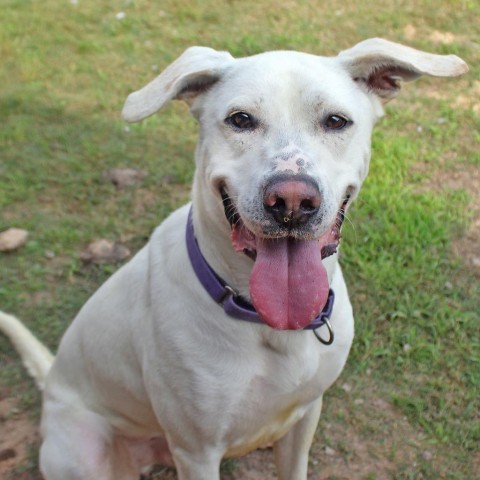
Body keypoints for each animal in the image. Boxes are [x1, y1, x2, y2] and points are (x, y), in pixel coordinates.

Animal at [0, 38, 464, 480]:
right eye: (240, 120)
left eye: (336, 121)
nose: (291, 201)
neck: (268, 323)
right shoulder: (197, 453)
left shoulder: (305, 417)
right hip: (85, 452)